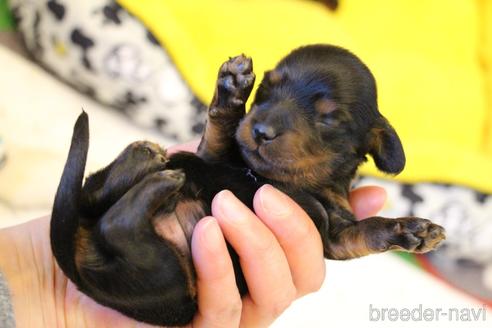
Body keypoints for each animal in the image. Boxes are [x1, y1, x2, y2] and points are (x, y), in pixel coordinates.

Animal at [50, 43, 446, 326]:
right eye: (266, 91)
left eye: (329, 118)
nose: (260, 131)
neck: (270, 177)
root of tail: (79, 268)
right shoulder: (214, 155)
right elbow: (220, 132)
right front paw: (231, 87)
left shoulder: (332, 237)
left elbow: (365, 231)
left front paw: (412, 230)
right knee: (104, 207)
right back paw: (149, 162)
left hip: (164, 275)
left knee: (117, 222)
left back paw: (152, 169)